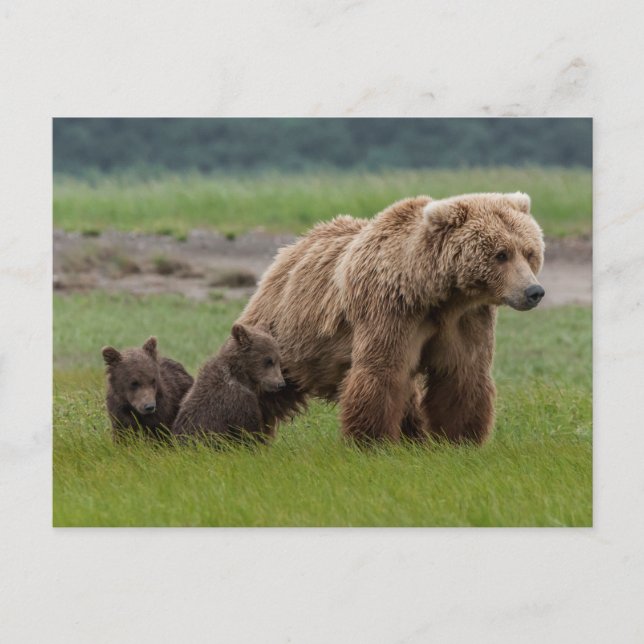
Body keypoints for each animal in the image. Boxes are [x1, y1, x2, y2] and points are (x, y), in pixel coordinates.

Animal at [237, 192, 545, 444]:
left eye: (529, 252)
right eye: (501, 254)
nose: (534, 291)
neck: (434, 293)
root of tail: (292, 246)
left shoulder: (464, 318)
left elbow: (461, 374)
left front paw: (459, 437)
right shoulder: (390, 310)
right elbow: (382, 371)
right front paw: (371, 439)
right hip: (289, 332)